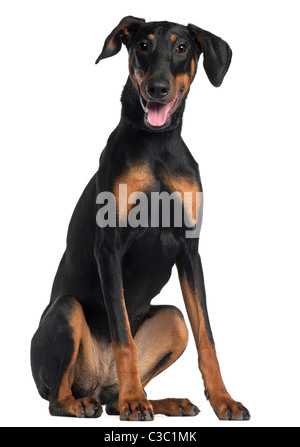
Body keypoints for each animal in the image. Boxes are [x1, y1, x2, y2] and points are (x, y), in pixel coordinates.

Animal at [30, 15, 250, 422]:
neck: (157, 145)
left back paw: (163, 402)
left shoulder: (190, 251)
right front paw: (136, 401)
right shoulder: (109, 249)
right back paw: (97, 402)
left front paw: (223, 400)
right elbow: (123, 336)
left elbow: (207, 337)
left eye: (182, 47)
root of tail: (98, 384)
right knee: (57, 398)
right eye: (143, 45)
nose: (157, 88)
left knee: (114, 398)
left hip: (174, 321)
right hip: (66, 311)